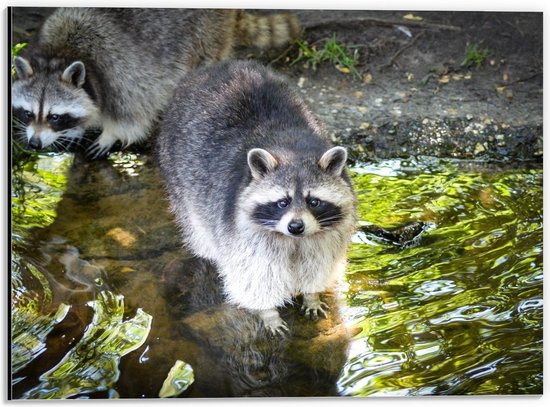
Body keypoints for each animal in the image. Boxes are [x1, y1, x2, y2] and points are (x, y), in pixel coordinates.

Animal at [9, 8, 302, 158]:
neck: (61, 54)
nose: (33, 144)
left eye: (55, 116)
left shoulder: (119, 71)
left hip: (207, 34)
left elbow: (132, 116)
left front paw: (109, 134)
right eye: (27, 113)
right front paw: (77, 129)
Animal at [157, 59, 360, 334]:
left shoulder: (329, 235)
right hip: (176, 172)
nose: (296, 227)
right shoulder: (241, 230)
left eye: (313, 201)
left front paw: (312, 294)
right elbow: (254, 276)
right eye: (283, 202)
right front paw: (268, 312)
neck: (293, 151)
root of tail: (216, 67)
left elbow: (319, 263)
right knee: (200, 232)